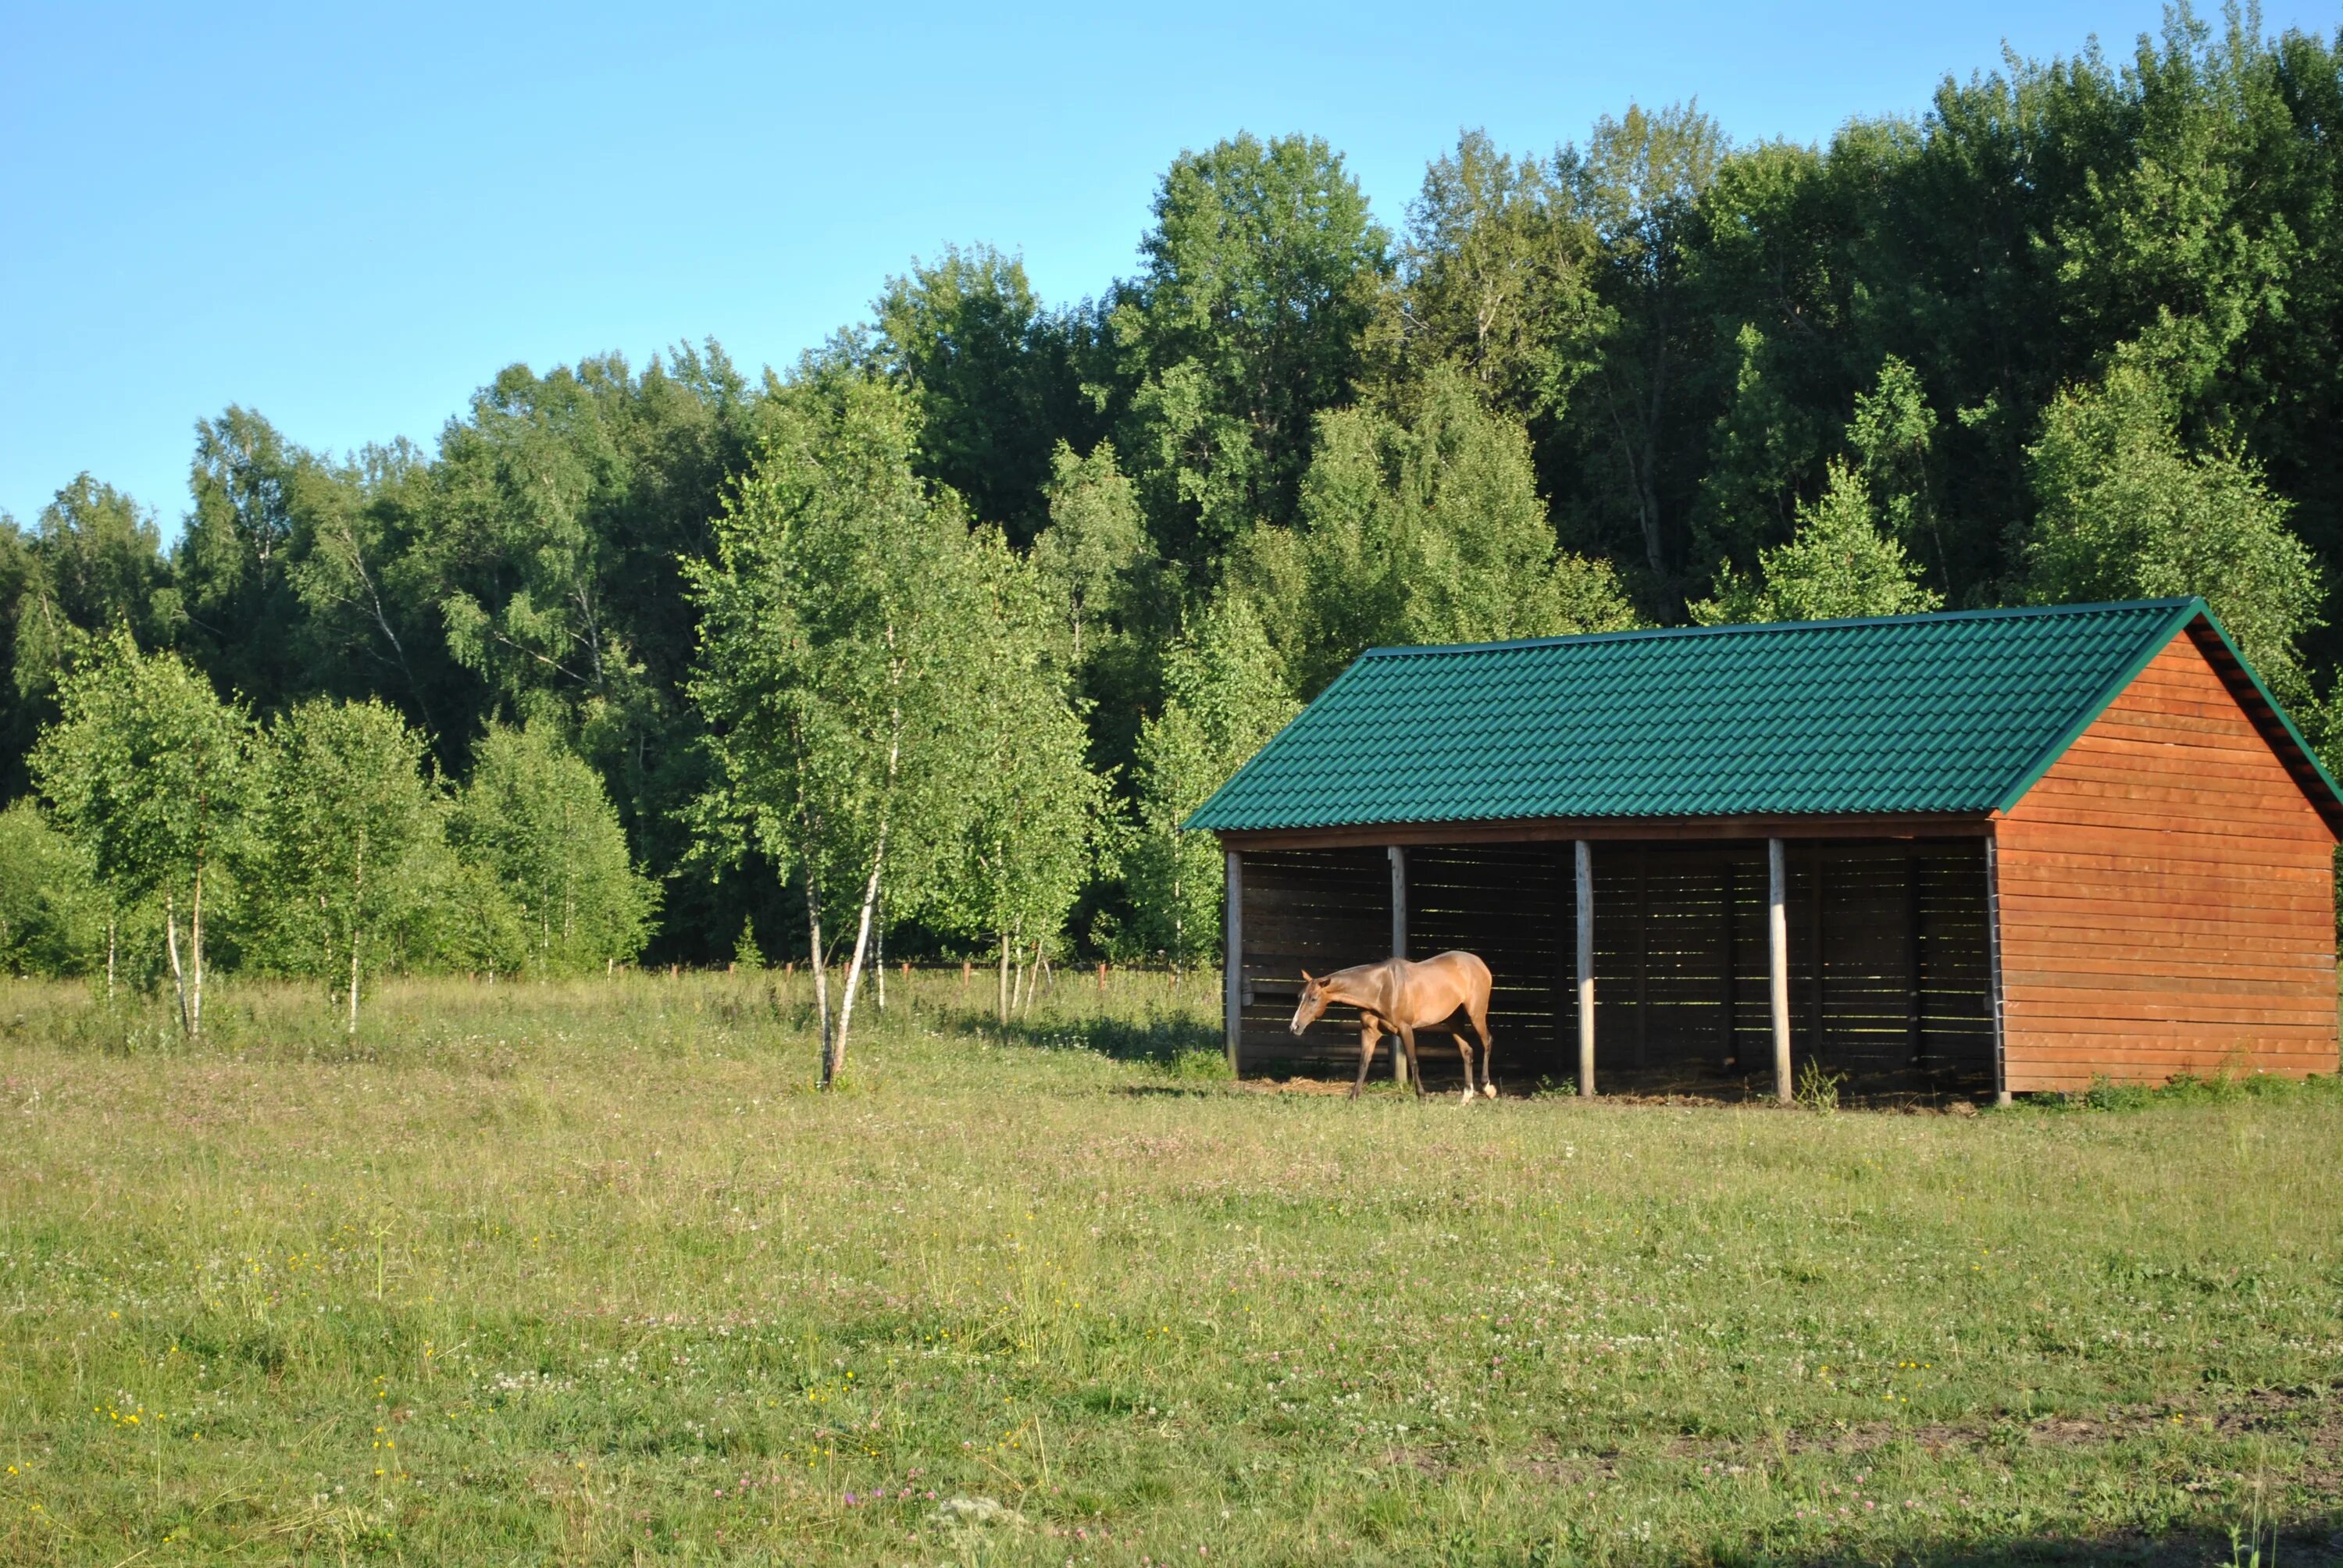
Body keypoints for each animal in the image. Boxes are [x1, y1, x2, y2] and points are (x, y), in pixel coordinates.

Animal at [1284, 956, 1500, 1101]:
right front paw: (1352, 1097)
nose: (1294, 1027)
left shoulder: (1405, 1028)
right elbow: (1363, 1064)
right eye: (1299, 997)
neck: (1380, 988)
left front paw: (1422, 1096)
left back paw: (1488, 1088)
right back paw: (1466, 1097)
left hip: (1476, 1013)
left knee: (1487, 1041)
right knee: (1467, 1051)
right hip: (1453, 1020)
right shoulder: (1369, 1032)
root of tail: (1479, 963)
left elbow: (1413, 1062)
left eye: (1313, 999)